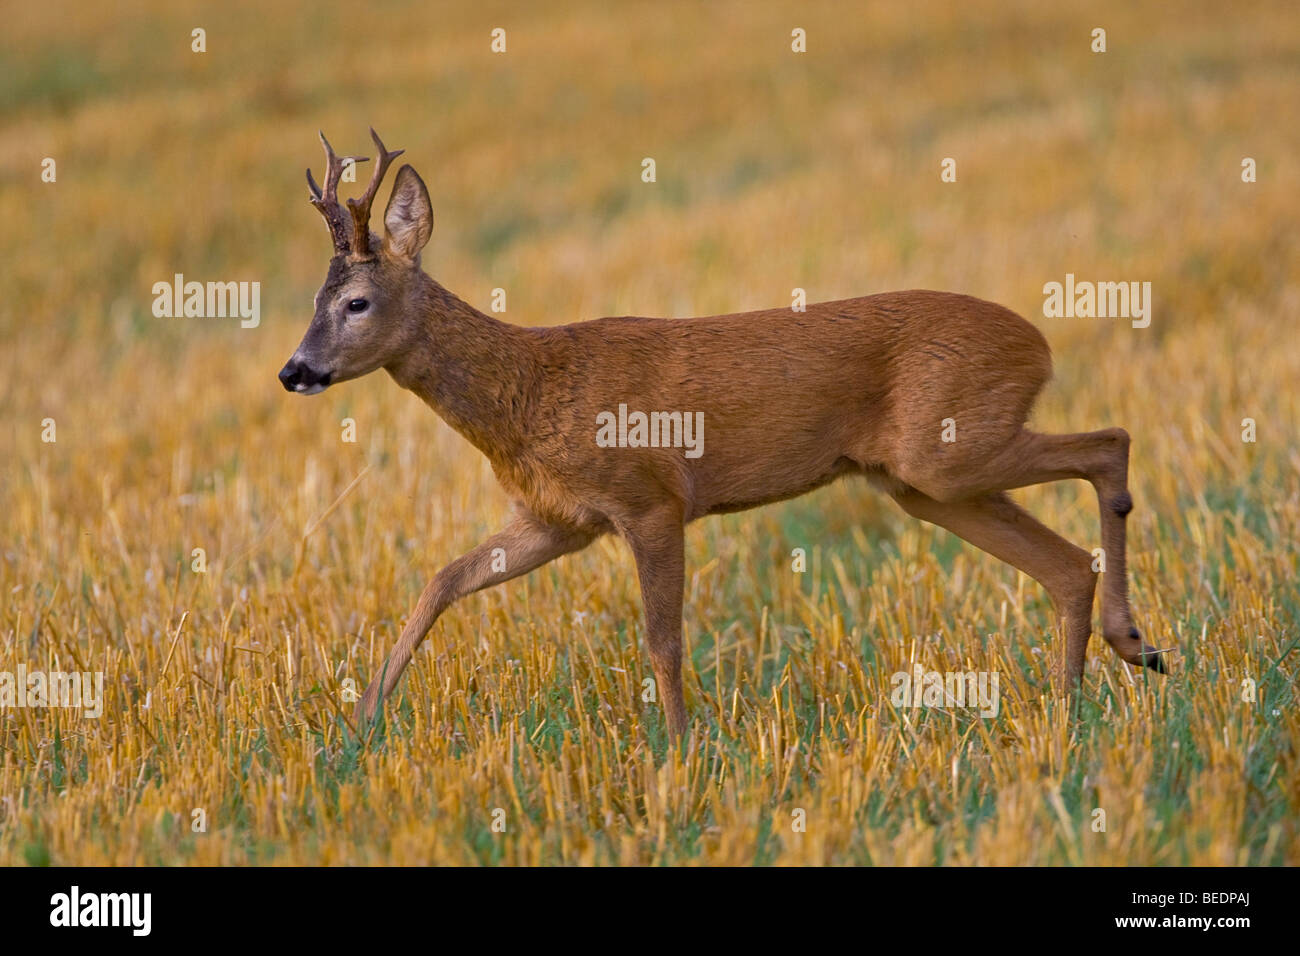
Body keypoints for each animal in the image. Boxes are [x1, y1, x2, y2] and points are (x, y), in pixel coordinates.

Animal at [279, 129, 1167, 740]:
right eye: (314, 301)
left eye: (356, 303)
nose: (294, 371)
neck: (529, 390)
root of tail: (1038, 344)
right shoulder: (557, 519)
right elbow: (443, 579)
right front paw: (359, 723)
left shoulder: (650, 498)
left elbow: (662, 638)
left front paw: (680, 750)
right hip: (922, 483)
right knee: (1065, 564)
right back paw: (1082, 699)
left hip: (946, 449)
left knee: (1111, 441)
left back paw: (1127, 645)